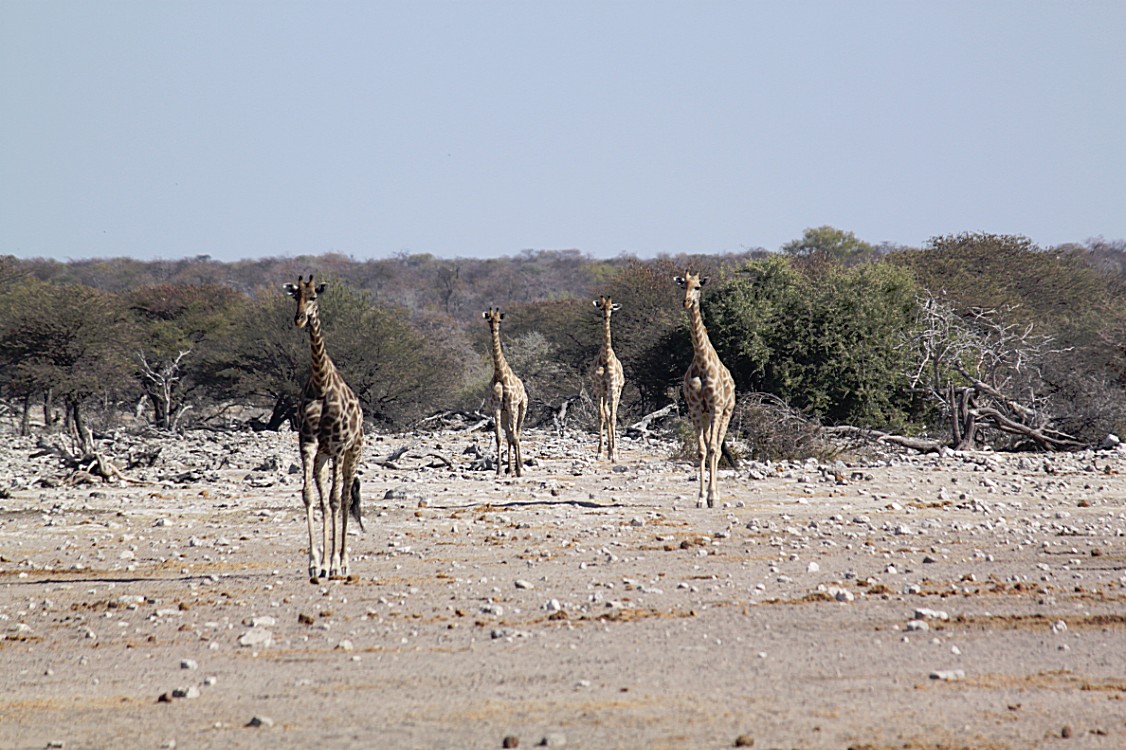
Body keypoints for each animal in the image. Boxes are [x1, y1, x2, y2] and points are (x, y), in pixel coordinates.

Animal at [283, 274, 362, 576]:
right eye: (296, 296)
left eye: (314, 296)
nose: (299, 319)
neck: (320, 383)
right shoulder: (308, 442)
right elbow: (308, 496)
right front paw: (315, 563)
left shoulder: (339, 446)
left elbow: (336, 499)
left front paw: (335, 562)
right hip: (322, 456)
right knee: (326, 500)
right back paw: (327, 562)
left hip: (353, 451)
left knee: (344, 497)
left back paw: (342, 561)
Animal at [481, 306, 529, 475]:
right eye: (489, 320)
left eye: (499, 321)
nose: (494, 329)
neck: (500, 375)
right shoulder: (496, 407)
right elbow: (499, 437)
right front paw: (500, 470)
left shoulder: (512, 405)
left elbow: (515, 436)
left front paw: (519, 470)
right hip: (505, 413)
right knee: (509, 434)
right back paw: (510, 468)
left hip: (521, 408)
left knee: (517, 433)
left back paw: (519, 466)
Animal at [671, 270, 734, 509]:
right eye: (683, 286)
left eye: (698, 287)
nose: (686, 302)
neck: (701, 360)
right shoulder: (696, 409)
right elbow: (701, 451)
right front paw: (699, 498)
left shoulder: (716, 407)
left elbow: (714, 449)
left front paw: (712, 497)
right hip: (707, 416)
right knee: (708, 446)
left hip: (726, 412)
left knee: (717, 448)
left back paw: (715, 495)